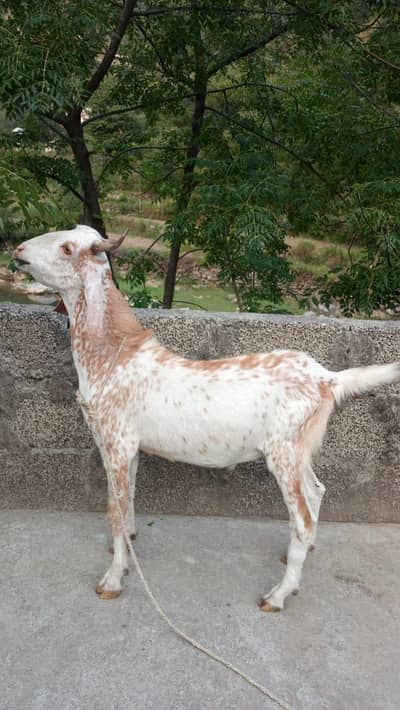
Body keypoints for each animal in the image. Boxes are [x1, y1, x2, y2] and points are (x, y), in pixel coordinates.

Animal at [13, 225, 400, 611]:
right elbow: (129, 499)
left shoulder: (115, 443)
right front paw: (126, 544)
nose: (18, 250)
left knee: (302, 516)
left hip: (283, 453)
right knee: (317, 491)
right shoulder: (130, 447)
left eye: (67, 248)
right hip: (299, 449)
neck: (112, 357)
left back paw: (278, 594)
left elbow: (114, 508)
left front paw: (112, 579)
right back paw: (302, 552)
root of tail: (327, 379)